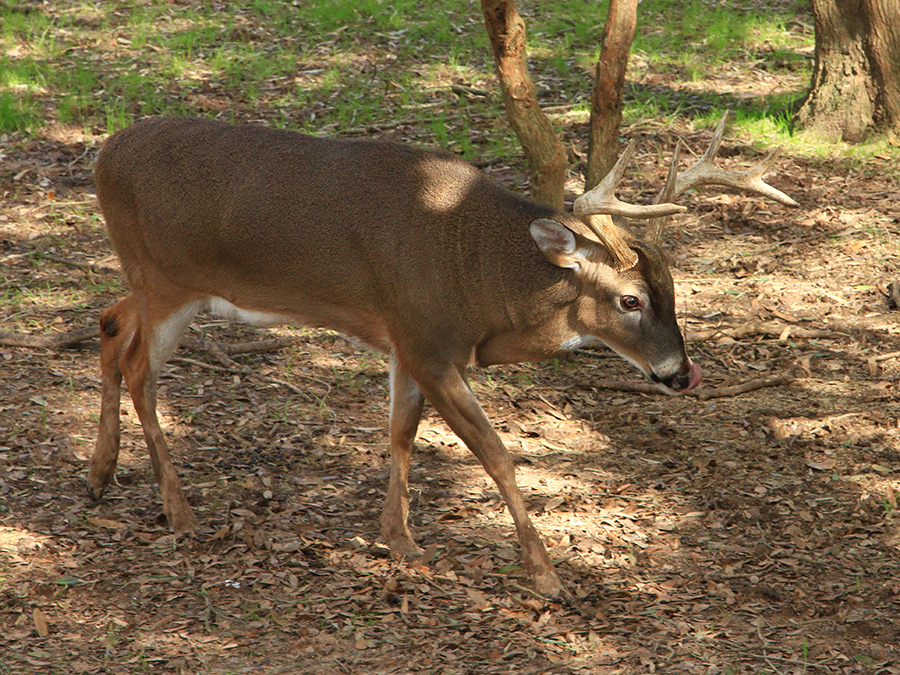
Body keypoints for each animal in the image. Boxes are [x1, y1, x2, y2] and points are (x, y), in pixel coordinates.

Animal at [89, 113, 796, 600]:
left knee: (108, 323)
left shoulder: (406, 339)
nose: (680, 373)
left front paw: (398, 539)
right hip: (167, 279)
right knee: (139, 367)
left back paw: (100, 473)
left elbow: (401, 431)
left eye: (674, 293)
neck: (475, 275)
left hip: (153, 283)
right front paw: (546, 576)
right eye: (629, 299)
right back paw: (180, 512)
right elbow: (496, 454)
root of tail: (103, 155)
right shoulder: (430, 343)